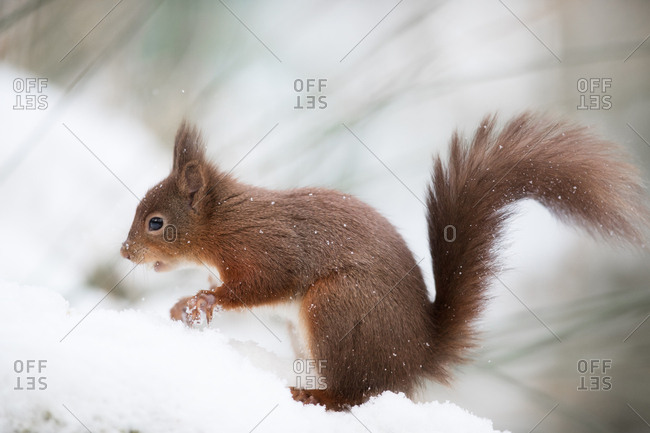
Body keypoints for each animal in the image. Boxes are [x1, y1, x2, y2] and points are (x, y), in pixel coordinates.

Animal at [121, 113, 647, 410]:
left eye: (155, 222)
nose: (125, 252)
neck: (222, 223)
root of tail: (415, 356)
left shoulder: (264, 247)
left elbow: (261, 285)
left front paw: (203, 299)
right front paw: (180, 307)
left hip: (336, 307)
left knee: (357, 392)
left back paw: (315, 396)